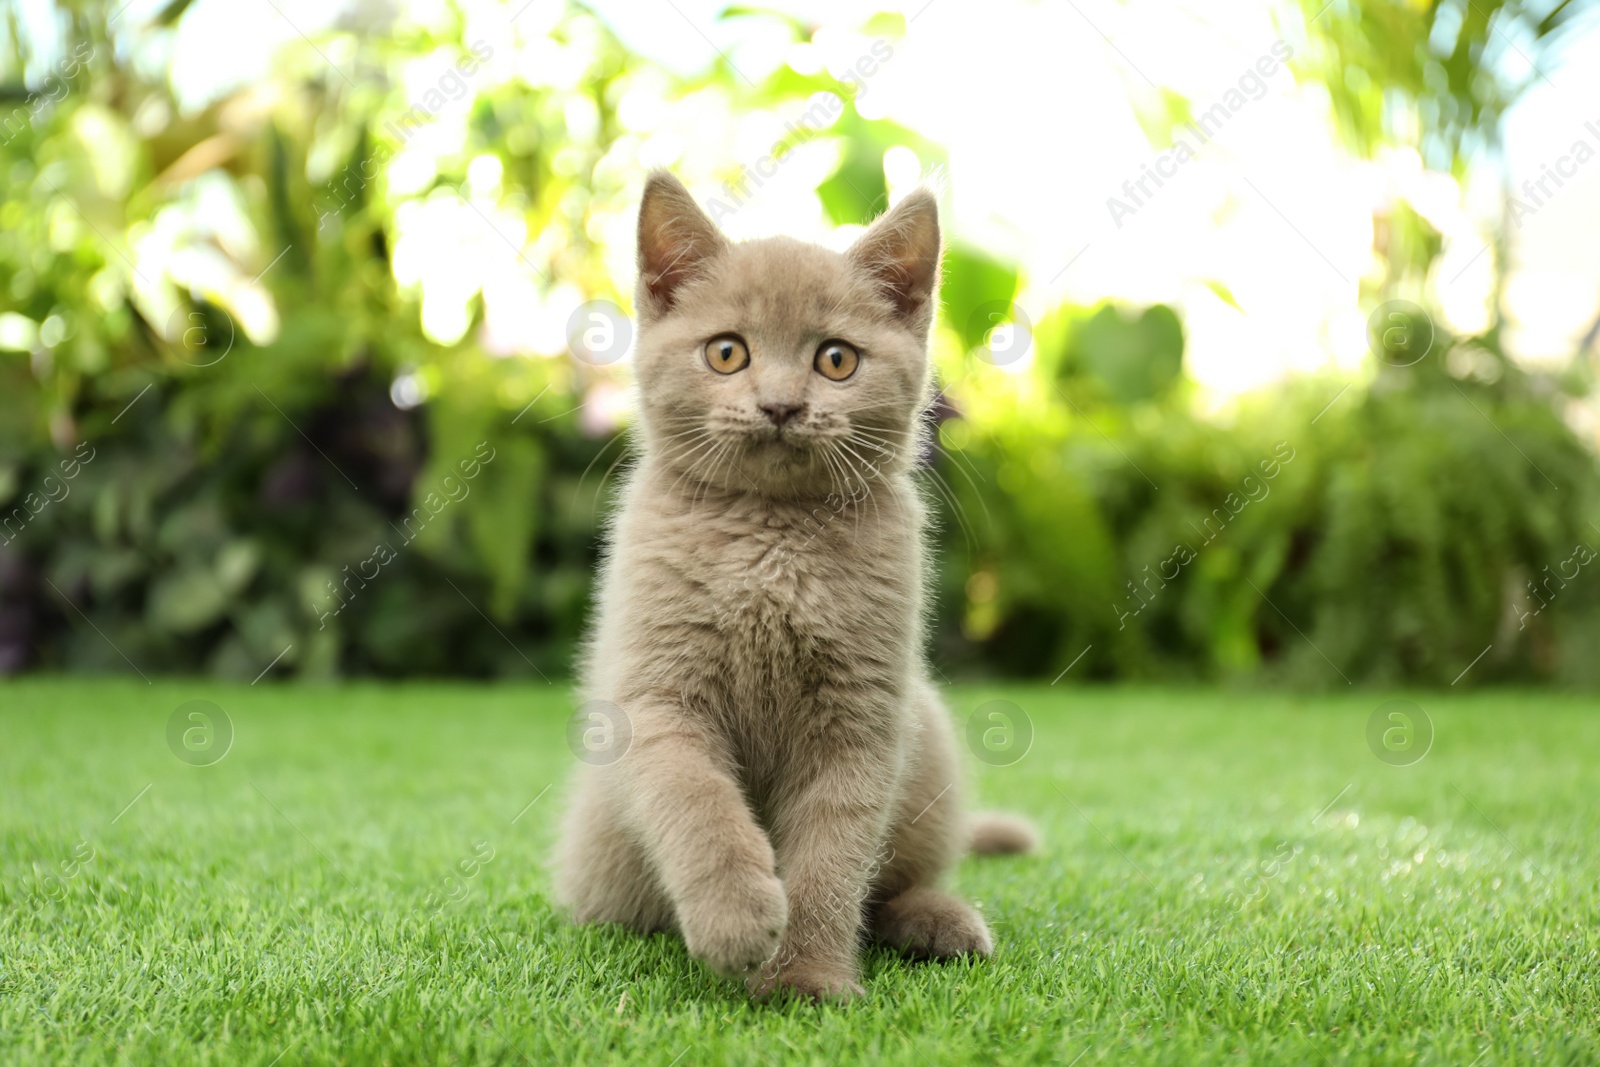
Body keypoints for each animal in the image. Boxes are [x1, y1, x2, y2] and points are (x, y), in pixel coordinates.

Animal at [556, 173, 1036, 1004]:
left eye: (836, 360)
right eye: (727, 352)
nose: (782, 404)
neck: (772, 540)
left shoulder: (862, 716)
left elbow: (833, 858)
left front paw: (807, 976)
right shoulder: (657, 695)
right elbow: (697, 800)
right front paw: (736, 917)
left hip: (926, 731)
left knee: (897, 880)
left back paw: (939, 920)